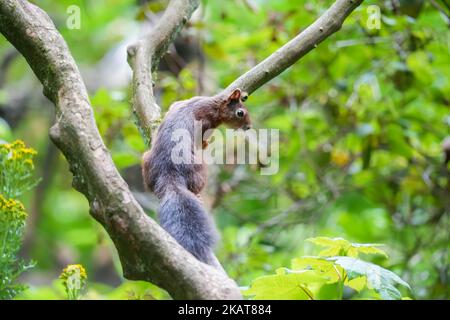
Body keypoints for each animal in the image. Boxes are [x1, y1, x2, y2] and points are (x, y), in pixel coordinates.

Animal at [142, 88, 251, 268]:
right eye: (240, 113)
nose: (249, 127)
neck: (213, 104)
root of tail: (169, 176)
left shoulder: (182, 102)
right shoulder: (205, 122)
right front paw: (206, 143)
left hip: (145, 161)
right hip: (200, 168)